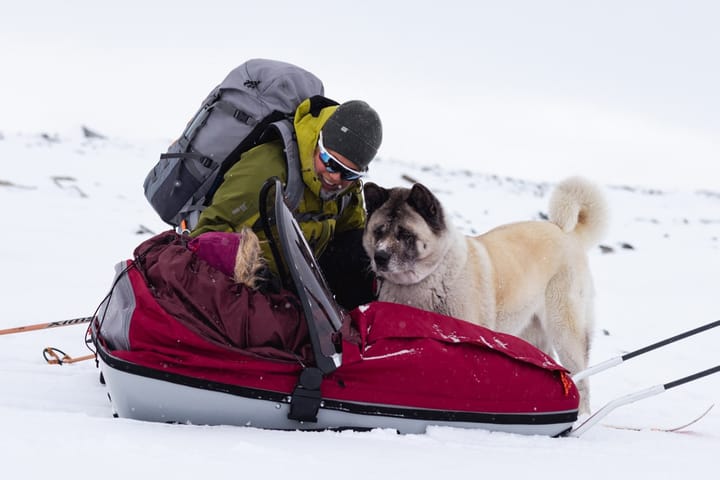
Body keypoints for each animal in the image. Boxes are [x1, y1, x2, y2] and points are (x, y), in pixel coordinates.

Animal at [366, 177, 608, 412]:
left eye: (405, 234)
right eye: (378, 231)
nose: (380, 257)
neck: (427, 281)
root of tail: (567, 234)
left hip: (565, 331)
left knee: (581, 377)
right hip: (529, 334)